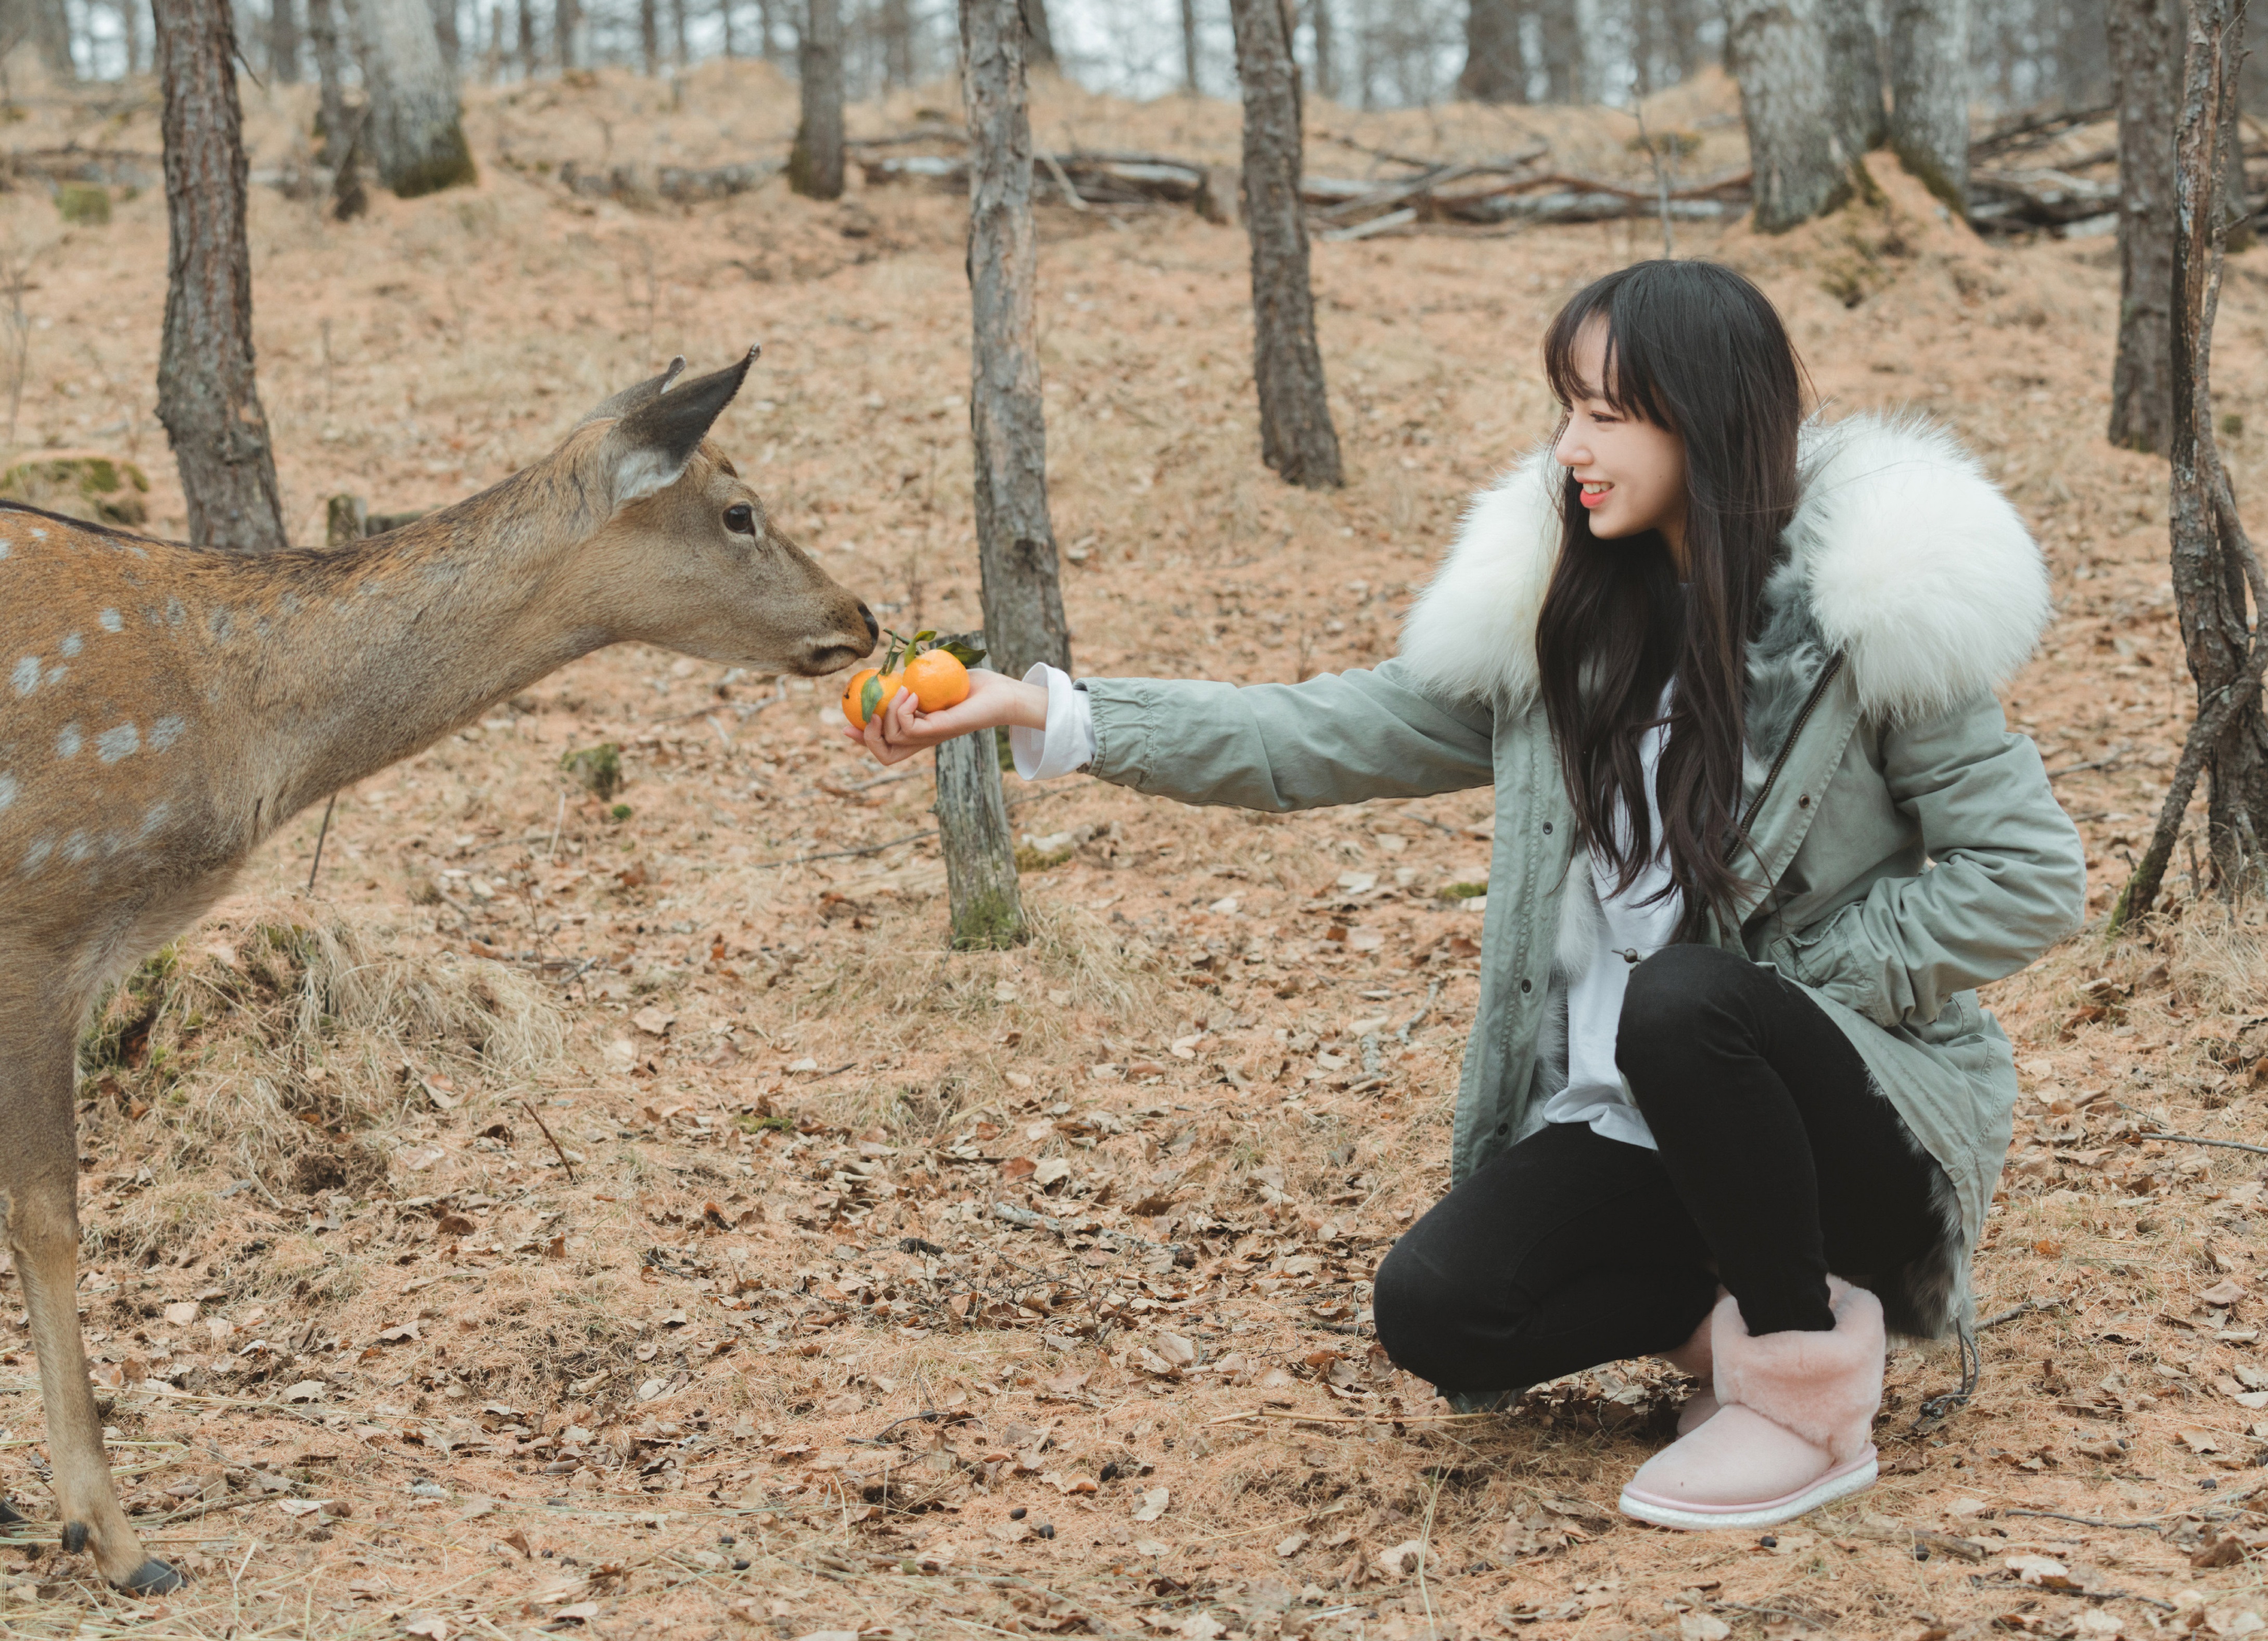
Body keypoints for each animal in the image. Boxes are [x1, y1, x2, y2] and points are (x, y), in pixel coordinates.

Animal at [0, 349, 875, 1588]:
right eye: (739, 510)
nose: (862, 616)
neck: (238, 723)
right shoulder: (39, 918)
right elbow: (48, 1218)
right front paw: (112, 1536)